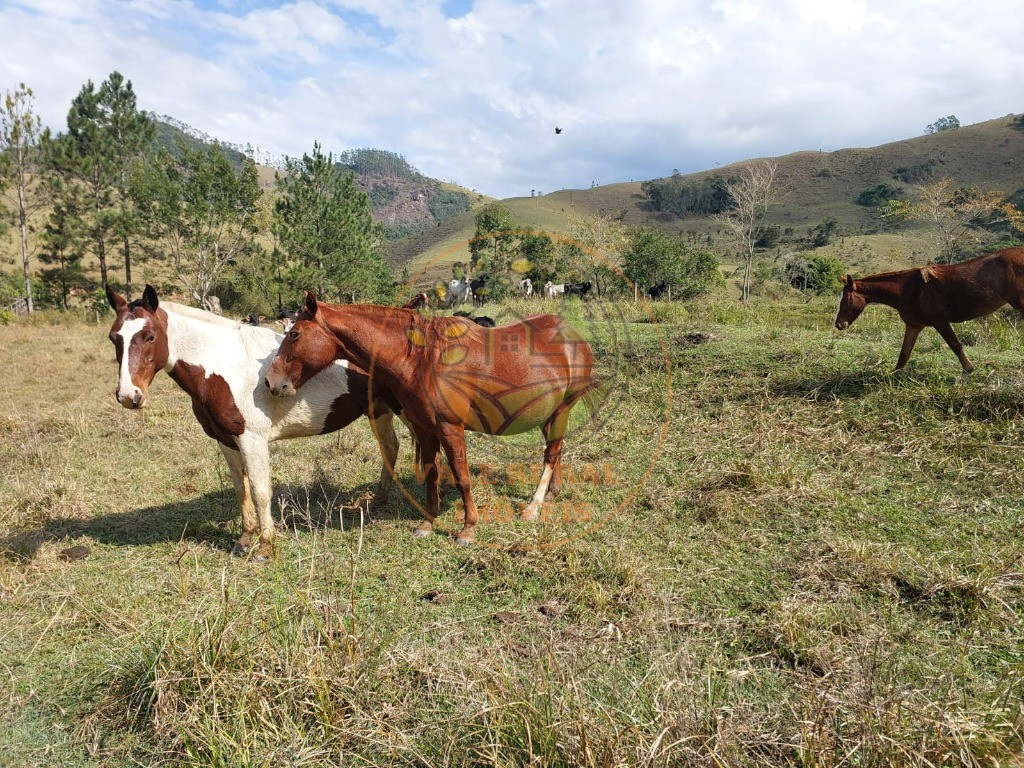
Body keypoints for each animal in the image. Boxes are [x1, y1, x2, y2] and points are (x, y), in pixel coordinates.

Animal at [107, 284, 399, 561]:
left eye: (150, 336)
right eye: (114, 338)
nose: (128, 396)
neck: (224, 366)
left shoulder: (252, 440)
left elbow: (260, 491)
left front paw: (265, 546)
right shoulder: (226, 440)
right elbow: (241, 489)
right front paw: (245, 539)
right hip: (379, 409)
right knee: (390, 448)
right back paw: (380, 499)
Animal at [264, 290, 598, 544]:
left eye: (294, 334)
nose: (271, 381)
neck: (421, 359)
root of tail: (574, 336)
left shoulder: (451, 429)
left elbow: (461, 477)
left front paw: (468, 528)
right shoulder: (425, 429)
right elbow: (432, 474)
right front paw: (428, 522)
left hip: (563, 409)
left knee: (551, 454)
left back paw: (533, 507)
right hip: (549, 414)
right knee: (555, 450)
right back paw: (552, 493)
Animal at [835, 247, 1024, 374]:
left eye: (846, 299)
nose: (838, 324)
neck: (909, 290)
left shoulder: (940, 321)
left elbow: (955, 345)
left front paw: (969, 368)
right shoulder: (914, 325)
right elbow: (904, 354)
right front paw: (893, 376)